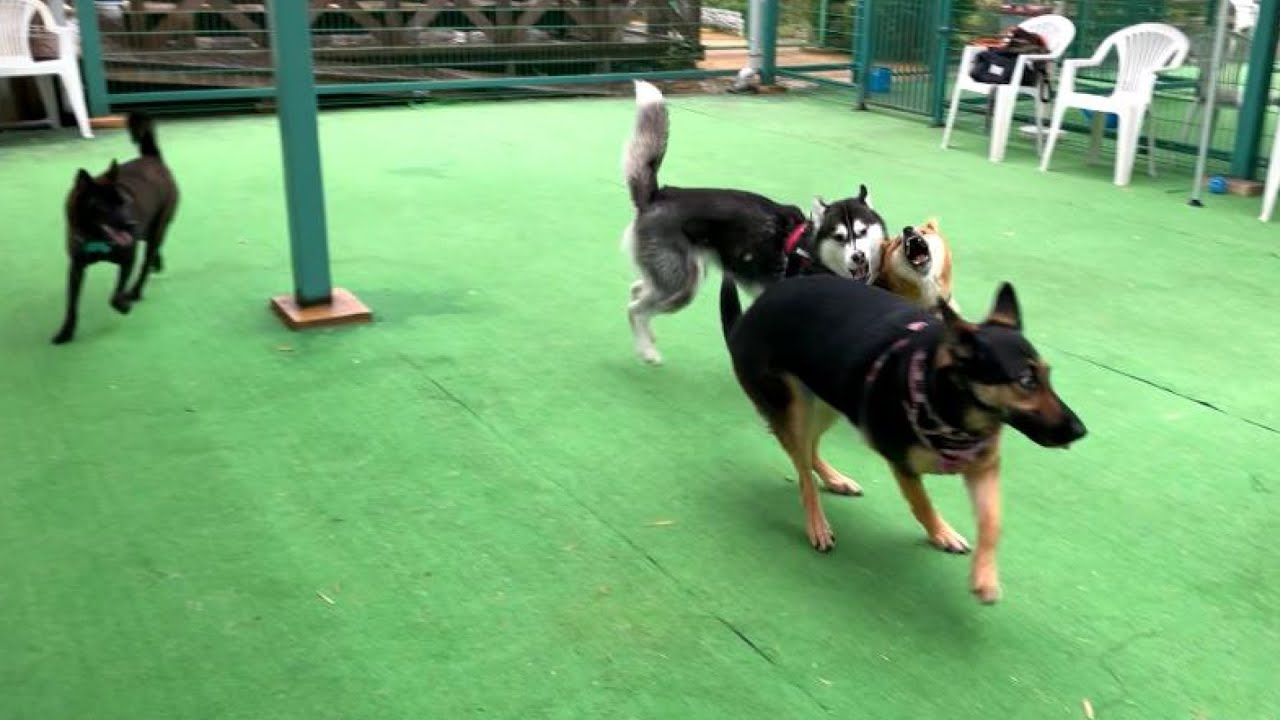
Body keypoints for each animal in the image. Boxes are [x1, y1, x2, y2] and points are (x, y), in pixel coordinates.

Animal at [53, 114, 179, 345]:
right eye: (104, 207)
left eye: (125, 202)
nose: (132, 224)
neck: (97, 238)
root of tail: (153, 159)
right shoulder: (76, 268)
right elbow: (72, 304)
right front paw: (66, 332)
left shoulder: (128, 258)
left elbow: (115, 294)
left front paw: (123, 304)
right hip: (148, 230)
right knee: (152, 249)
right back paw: (157, 263)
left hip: (157, 226)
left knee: (145, 264)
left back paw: (135, 291)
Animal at [621, 79, 886, 364]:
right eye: (839, 237)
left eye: (862, 231)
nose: (858, 257)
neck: (812, 253)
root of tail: (658, 195)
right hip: (682, 285)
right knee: (635, 309)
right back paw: (647, 350)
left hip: (679, 276)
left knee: (637, 290)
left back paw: (647, 334)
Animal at [719, 273, 1086, 603]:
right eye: (1026, 381)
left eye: (1047, 376)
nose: (1080, 431)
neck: (949, 410)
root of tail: (748, 316)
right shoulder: (903, 466)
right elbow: (922, 505)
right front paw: (941, 533)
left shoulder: (984, 468)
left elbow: (992, 523)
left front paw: (984, 577)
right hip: (794, 408)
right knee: (803, 474)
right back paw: (817, 523)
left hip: (828, 401)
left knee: (808, 454)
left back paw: (835, 480)